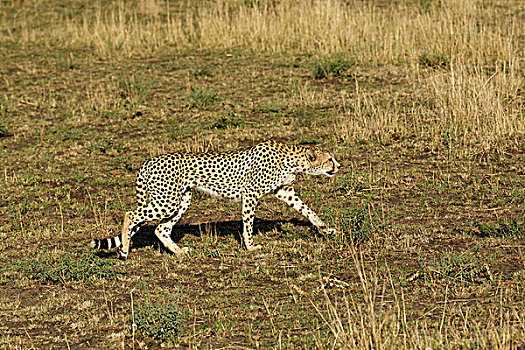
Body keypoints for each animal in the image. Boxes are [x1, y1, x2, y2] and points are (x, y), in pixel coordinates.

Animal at [90, 139, 340, 258]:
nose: (339, 166)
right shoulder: (250, 194)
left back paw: (179, 252)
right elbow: (248, 224)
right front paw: (250, 246)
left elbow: (308, 210)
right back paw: (124, 251)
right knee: (130, 214)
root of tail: (148, 161)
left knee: (160, 228)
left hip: (181, 200)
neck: (293, 159)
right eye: (329, 159)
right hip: (166, 201)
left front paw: (326, 229)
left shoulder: (285, 192)